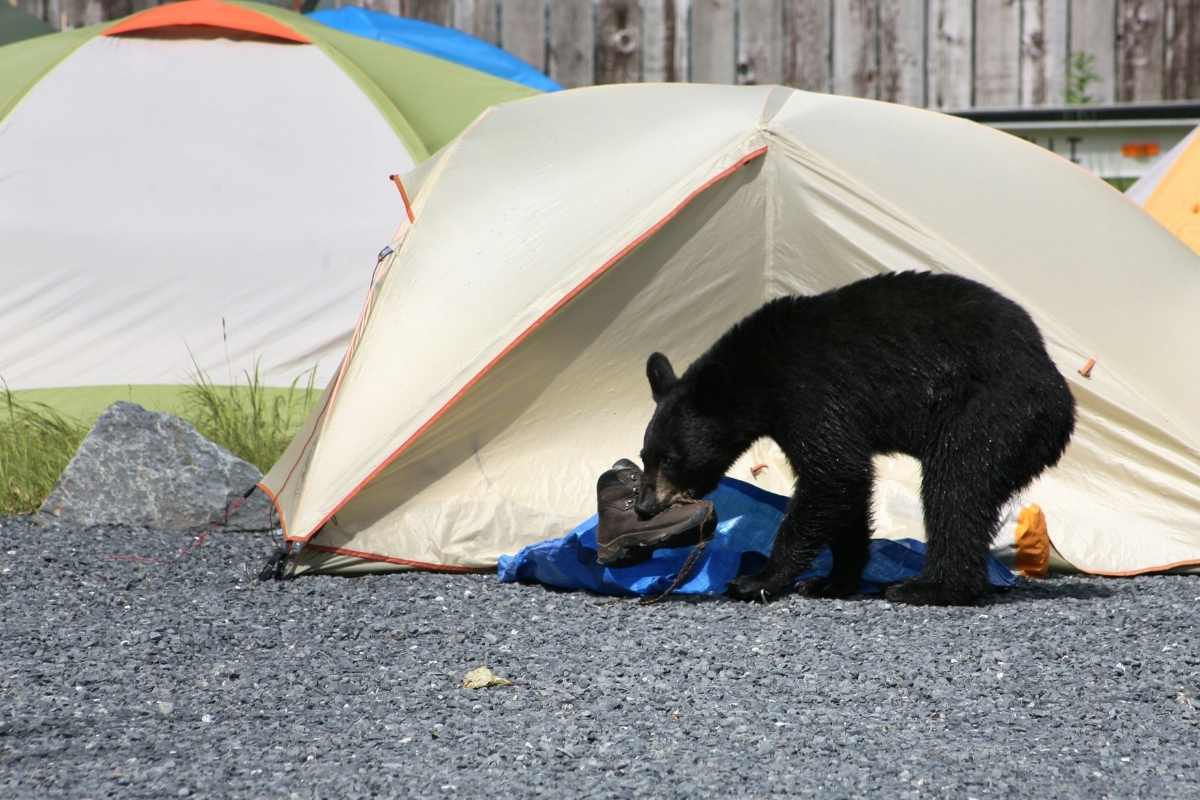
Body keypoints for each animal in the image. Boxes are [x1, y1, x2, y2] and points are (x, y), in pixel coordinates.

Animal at [638, 272, 1080, 604]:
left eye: (670, 458)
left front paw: (757, 580)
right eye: (645, 455)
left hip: (991, 411)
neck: (761, 374)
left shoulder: (812, 392)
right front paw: (832, 580)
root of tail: (1060, 396)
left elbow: (832, 473)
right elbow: (847, 486)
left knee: (956, 485)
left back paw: (929, 587)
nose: (644, 506)